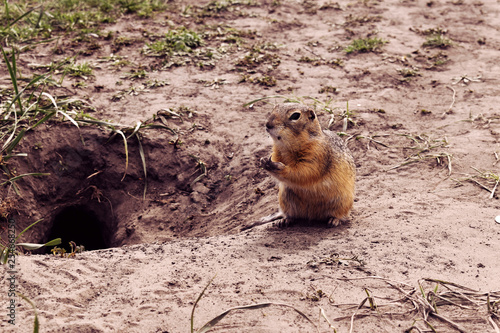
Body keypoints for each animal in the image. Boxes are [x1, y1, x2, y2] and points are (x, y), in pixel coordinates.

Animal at [243, 102, 354, 230]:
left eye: (295, 116)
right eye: (274, 108)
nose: (268, 124)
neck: (287, 146)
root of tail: (313, 216)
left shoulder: (316, 154)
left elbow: (303, 172)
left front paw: (277, 167)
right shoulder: (277, 152)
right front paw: (263, 161)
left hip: (342, 203)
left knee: (340, 215)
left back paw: (334, 220)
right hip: (286, 200)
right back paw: (285, 220)